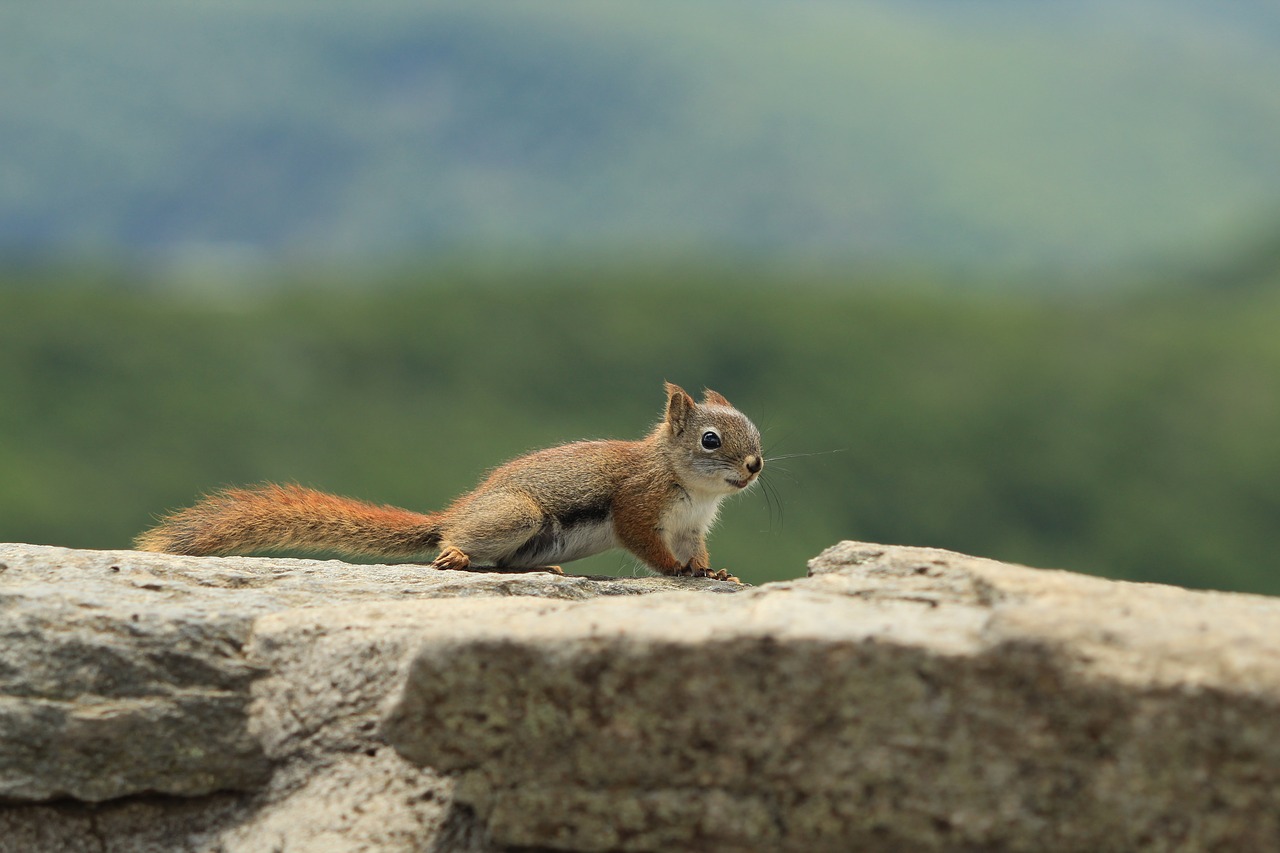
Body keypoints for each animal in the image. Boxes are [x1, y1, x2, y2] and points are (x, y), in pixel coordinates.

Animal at [135, 381, 762, 581]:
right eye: (710, 440)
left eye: (755, 431)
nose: (756, 466)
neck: (691, 487)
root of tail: (456, 512)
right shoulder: (638, 502)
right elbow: (645, 544)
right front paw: (678, 572)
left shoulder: (690, 526)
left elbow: (696, 550)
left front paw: (712, 572)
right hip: (517, 513)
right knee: (460, 544)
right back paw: (456, 553)